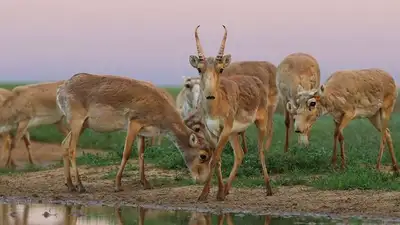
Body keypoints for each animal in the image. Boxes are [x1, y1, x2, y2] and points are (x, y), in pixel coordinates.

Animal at [56, 73, 214, 192]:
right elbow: (126, 153)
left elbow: (141, 153)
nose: (203, 180)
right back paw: (80, 186)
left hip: (83, 125)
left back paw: (70, 185)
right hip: (77, 122)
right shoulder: (134, 124)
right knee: (72, 149)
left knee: (64, 144)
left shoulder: (142, 132)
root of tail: (61, 89)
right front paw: (117, 185)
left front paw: (146, 183)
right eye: (203, 156)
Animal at [189, 25, 274, 201]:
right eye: (199, 69)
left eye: (221, 69)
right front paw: (216, 192)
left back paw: (269, 189)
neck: (215, 107)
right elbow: (217, 159)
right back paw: (226, 190)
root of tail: (256, 81)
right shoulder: (212, 131)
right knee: (240, 155)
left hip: (260, 124)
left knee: (261, 151)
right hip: (234, 133)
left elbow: (214, 159)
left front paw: (204, 194)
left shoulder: (225, 129)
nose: (210, 95)